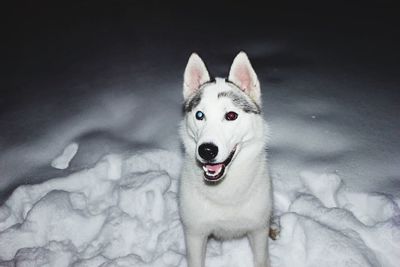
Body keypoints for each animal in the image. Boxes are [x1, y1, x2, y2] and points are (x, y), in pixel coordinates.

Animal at [180, 50, 274, 267]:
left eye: (231, 116)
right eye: (199, 115)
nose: (206, 150)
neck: (225, 192)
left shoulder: (258, 230)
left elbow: (261, 259)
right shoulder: (195, 233)